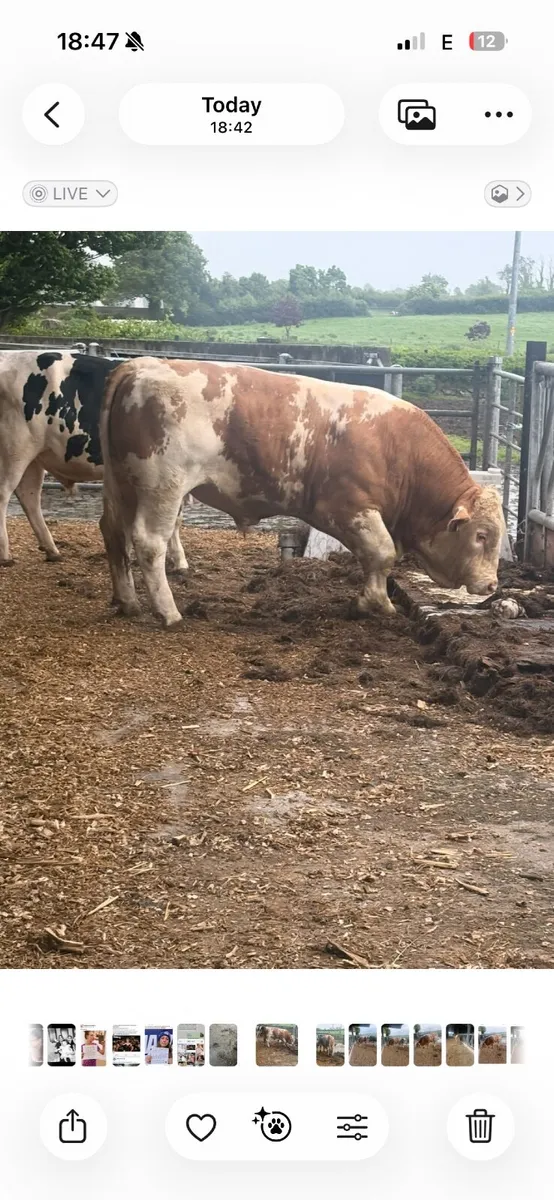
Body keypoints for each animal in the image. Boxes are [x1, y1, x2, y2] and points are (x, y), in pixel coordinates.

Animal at [0, 349, 188, 572]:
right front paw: (179, 561)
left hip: (34, 457)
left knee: (29, 496)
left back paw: (52, 551)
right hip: (15, 450)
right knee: (4, 495)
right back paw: (6, 555)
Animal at [98, 358, 505, 628]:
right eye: (481, 535)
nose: (491, 584)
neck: (399, 448)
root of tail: (140, 365)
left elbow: (377, 557)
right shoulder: (350, 507)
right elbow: (382, 553)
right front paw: (376, 604)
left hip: (123, 486)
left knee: (114, 532)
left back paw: (128, 600)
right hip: (163, 486)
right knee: (149, 542)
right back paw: (168, 612)